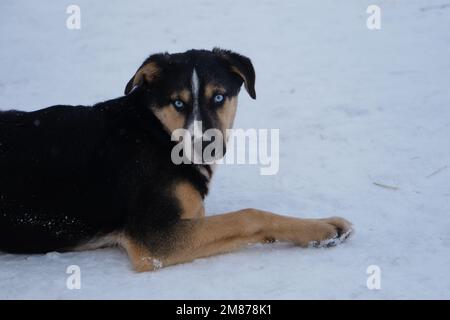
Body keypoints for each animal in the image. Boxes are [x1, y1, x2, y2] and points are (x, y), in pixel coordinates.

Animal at [0, 48, 352, 272]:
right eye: (178, 102)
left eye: (219, 96)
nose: (205, 143)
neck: (158, 133)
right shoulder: (153, 238)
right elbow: (249, 216)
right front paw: (321, 228)